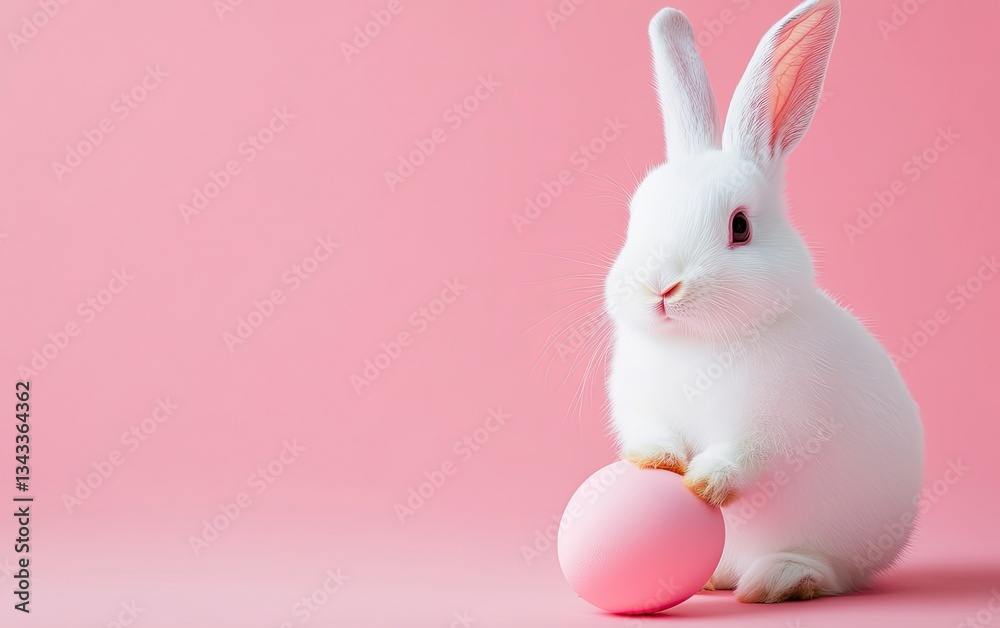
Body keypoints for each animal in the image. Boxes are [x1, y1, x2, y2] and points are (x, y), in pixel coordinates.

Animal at [604, 0, 924, 603]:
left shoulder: (776, 427)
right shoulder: (640, 405)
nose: (661, 288)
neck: (699, 343)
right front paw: (658, 463)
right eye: (635, 215)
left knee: (827, 573)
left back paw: (781, 580)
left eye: (740, 227)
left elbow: (744, 457)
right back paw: (713, 579)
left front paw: (702, 483)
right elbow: (651, 432)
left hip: (839, 550)